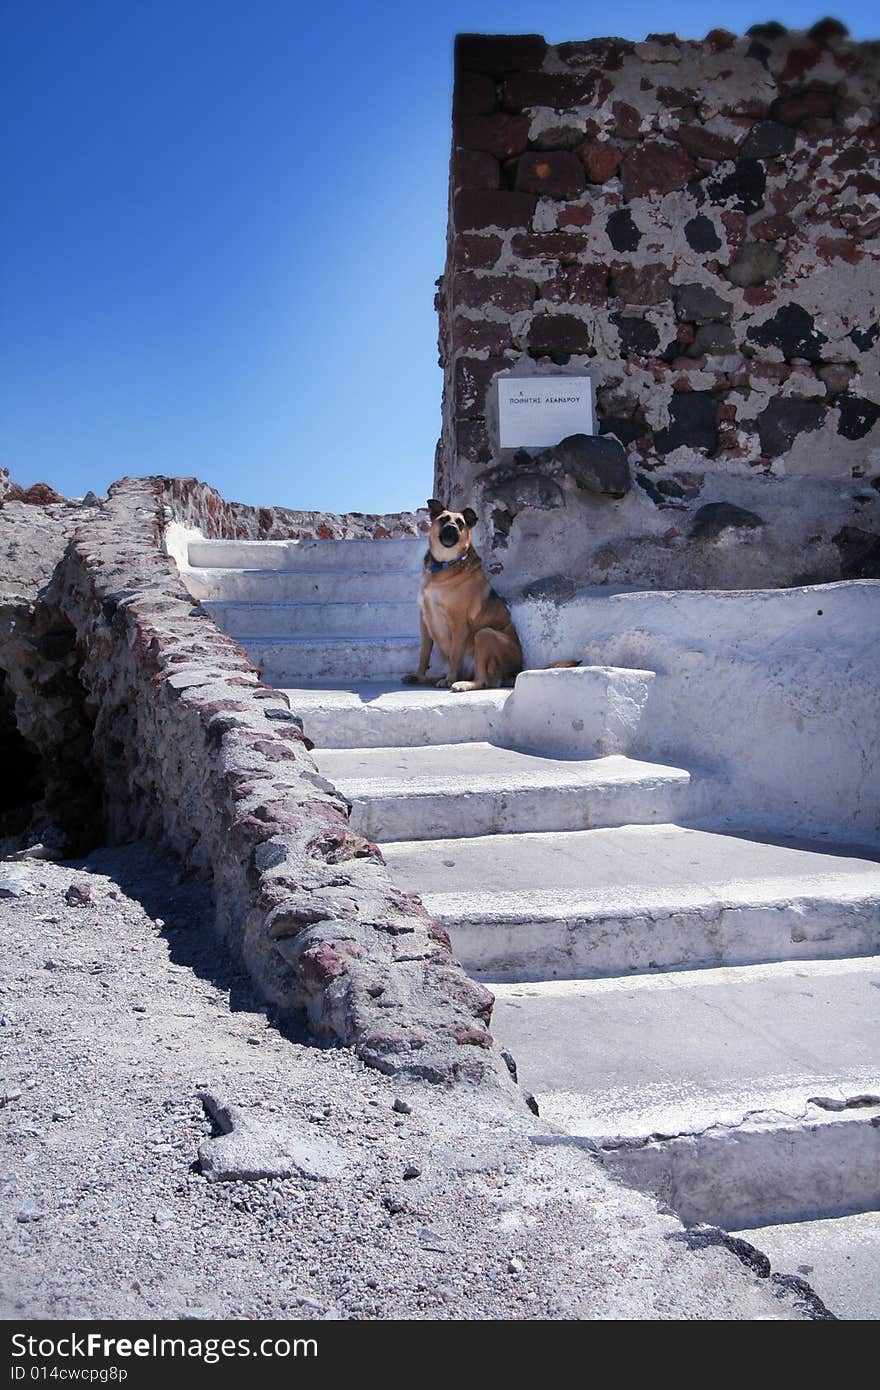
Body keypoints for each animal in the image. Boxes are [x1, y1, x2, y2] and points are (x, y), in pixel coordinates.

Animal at [403, 503, 525, 692]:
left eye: (460, 523)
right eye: (444, 519)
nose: (452, 528)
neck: (443, 566)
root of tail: (516, 671)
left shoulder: (459, 623)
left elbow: (454, 655)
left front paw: (449, 679)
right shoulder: (424, 621)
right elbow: (424, 654)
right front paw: (419, 675)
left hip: (484, 635)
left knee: (482, 681)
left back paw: (460, 683)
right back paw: (426, 679)